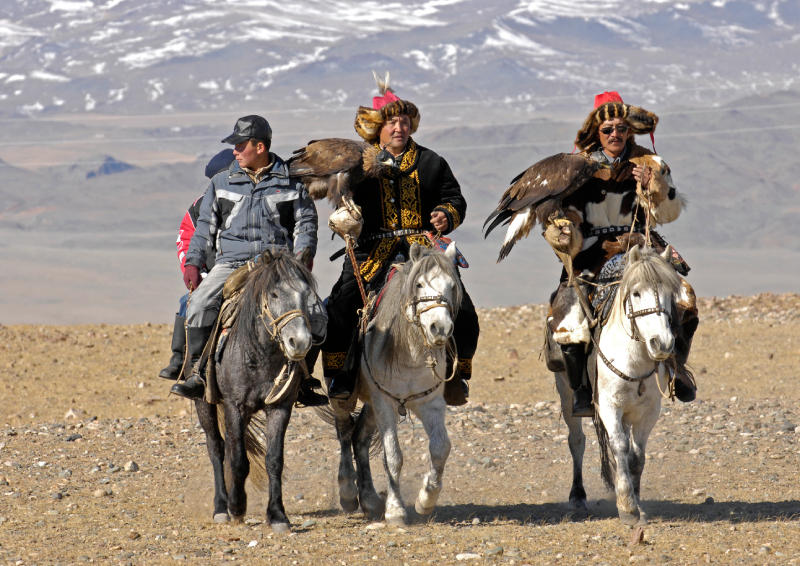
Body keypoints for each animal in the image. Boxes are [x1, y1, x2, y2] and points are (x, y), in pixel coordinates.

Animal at [195, 253, 318, 536]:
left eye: (307, 294)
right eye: (273, 294)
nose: (300, 342)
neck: (260, 354)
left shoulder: (280, 407)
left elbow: (274, 459)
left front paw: (278, 515)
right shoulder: (234, 405)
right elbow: (239, 460)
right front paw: (237, 507)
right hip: (204, 403)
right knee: (216, 448)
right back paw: (222, 506)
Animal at [330, 244, 460, 528]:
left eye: (452, 286)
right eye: (419, 284)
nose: (440, 328)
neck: (409, 351)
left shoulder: (430, 403)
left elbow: (440, 448)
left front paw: (425, 500)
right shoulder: (386, 403)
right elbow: (393, 456)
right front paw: (396, 511)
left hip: (372, 404)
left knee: (360, 437)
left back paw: (370, 500)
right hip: (346, 397)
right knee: (344, 431)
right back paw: (348, 493)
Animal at [556, 247, 680, 528]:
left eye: (670, 293)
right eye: (636, 293)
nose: (662, 344)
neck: (633, 359)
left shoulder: (649, 411)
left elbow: (637, 455)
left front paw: (637, 501)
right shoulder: (609, 406)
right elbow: (620, 446)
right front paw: (627, 508)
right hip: (566, 395)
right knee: (576, 441)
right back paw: (577, 497)